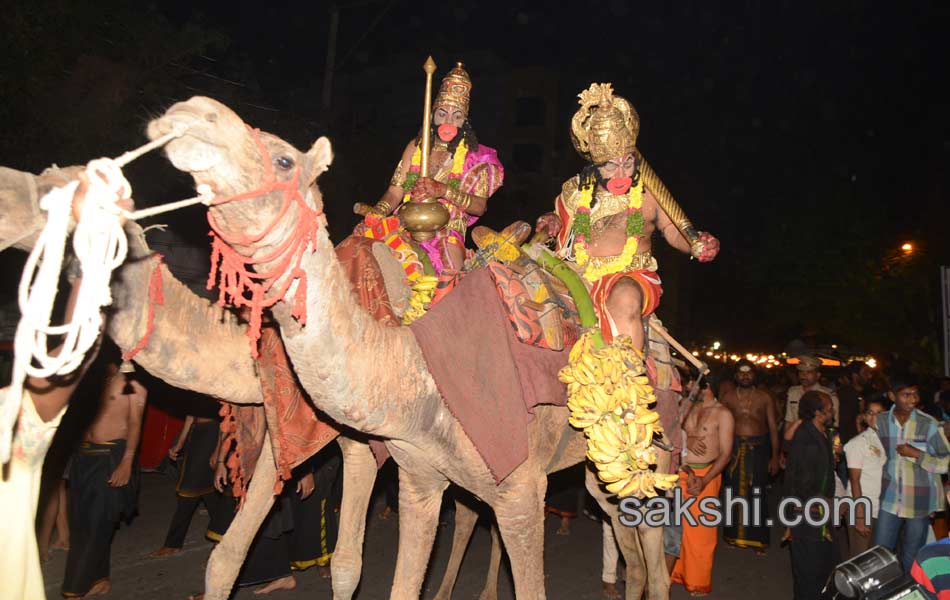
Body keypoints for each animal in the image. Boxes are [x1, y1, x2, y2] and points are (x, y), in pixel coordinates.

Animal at [145, 96, 672, 596]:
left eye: (283, 158)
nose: (191, 113)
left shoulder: (376, 442)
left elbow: (347, 563)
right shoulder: (314, 424)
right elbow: (227, 557)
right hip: (589, 469)